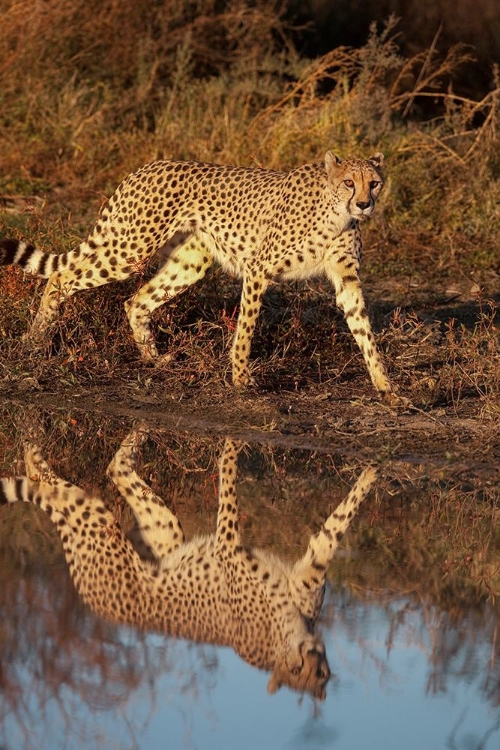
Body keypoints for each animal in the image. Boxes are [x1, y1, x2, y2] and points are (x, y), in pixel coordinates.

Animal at [0, 155, 398, 402]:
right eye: (349, 182)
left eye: (375, 183)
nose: (364, 204)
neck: (336, 213)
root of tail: (146, 166)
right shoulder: (258, 268)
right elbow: (246, 328)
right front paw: (240, 378)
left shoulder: (347, 281)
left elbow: (364, 330)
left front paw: (386, 387)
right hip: (129, 248)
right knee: (61, 277)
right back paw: (35, 339)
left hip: (191, 260)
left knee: (136, 300)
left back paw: (153, 359)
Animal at [0, 428, 376, 704]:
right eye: (295, 672)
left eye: (317, 674)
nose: (311, 660)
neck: (285, 636)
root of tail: (90, 599)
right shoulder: (228, 546)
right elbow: (228, 481)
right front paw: (231, 447)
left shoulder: (308, 571)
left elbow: (335, 526)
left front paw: (371, 472)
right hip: (96, 519)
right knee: (58, 487)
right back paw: (34, 455)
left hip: (164, 530)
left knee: (112, 469)